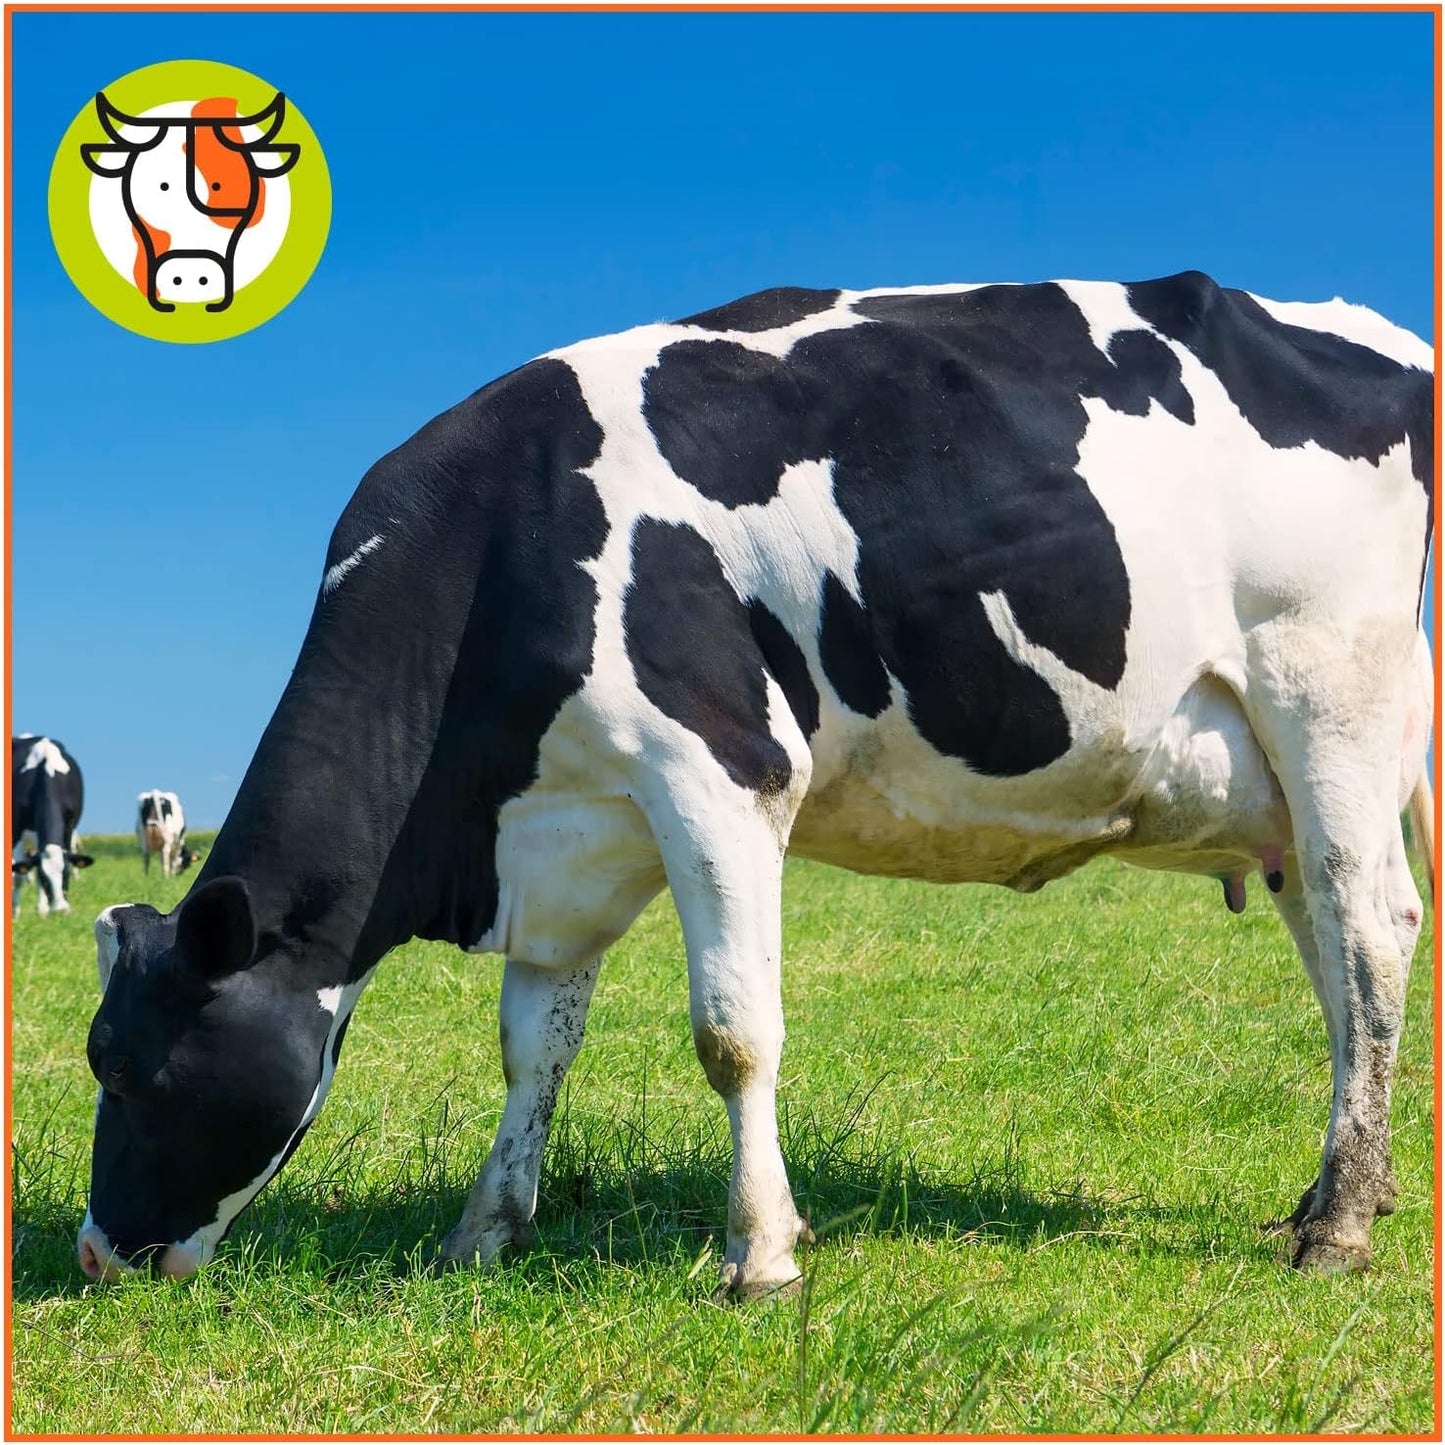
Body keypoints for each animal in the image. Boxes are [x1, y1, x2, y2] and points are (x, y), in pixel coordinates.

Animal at [12, 736, 94, 917]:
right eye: (44, 877)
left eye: (66, 873)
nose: (60, 909)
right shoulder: (17, 832)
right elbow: (18, 876)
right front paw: (15, 913)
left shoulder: (69, 827)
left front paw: (43, 910)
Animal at [79, 272, 1434, 1296]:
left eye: (128, 1068)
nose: (96, 1253)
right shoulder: (564, 833)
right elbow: (531, 1051)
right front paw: (482, 1232)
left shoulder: (719, 773)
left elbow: (731, 1033)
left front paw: (761, 1256)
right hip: (1275, 779)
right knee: (1331, 956)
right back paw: (1332, 1190)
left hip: (1329, 696)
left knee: (1370, 931)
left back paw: (1335, 1229)